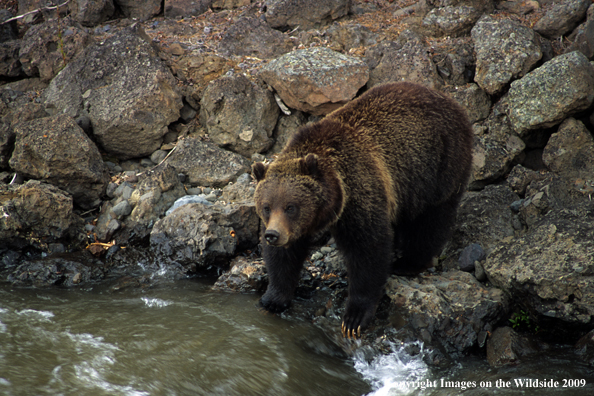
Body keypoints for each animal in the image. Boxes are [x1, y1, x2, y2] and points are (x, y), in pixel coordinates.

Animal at [250, 82, 472, 338]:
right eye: (266, 207)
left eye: (291, 207)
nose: (272, 235)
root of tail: (450, 100)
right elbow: (284, 257)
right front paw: (273, 299)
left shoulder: (359, 194)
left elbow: (368, 250)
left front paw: (354, 317)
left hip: (438, 166)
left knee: (431, 221)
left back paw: (408, 263)